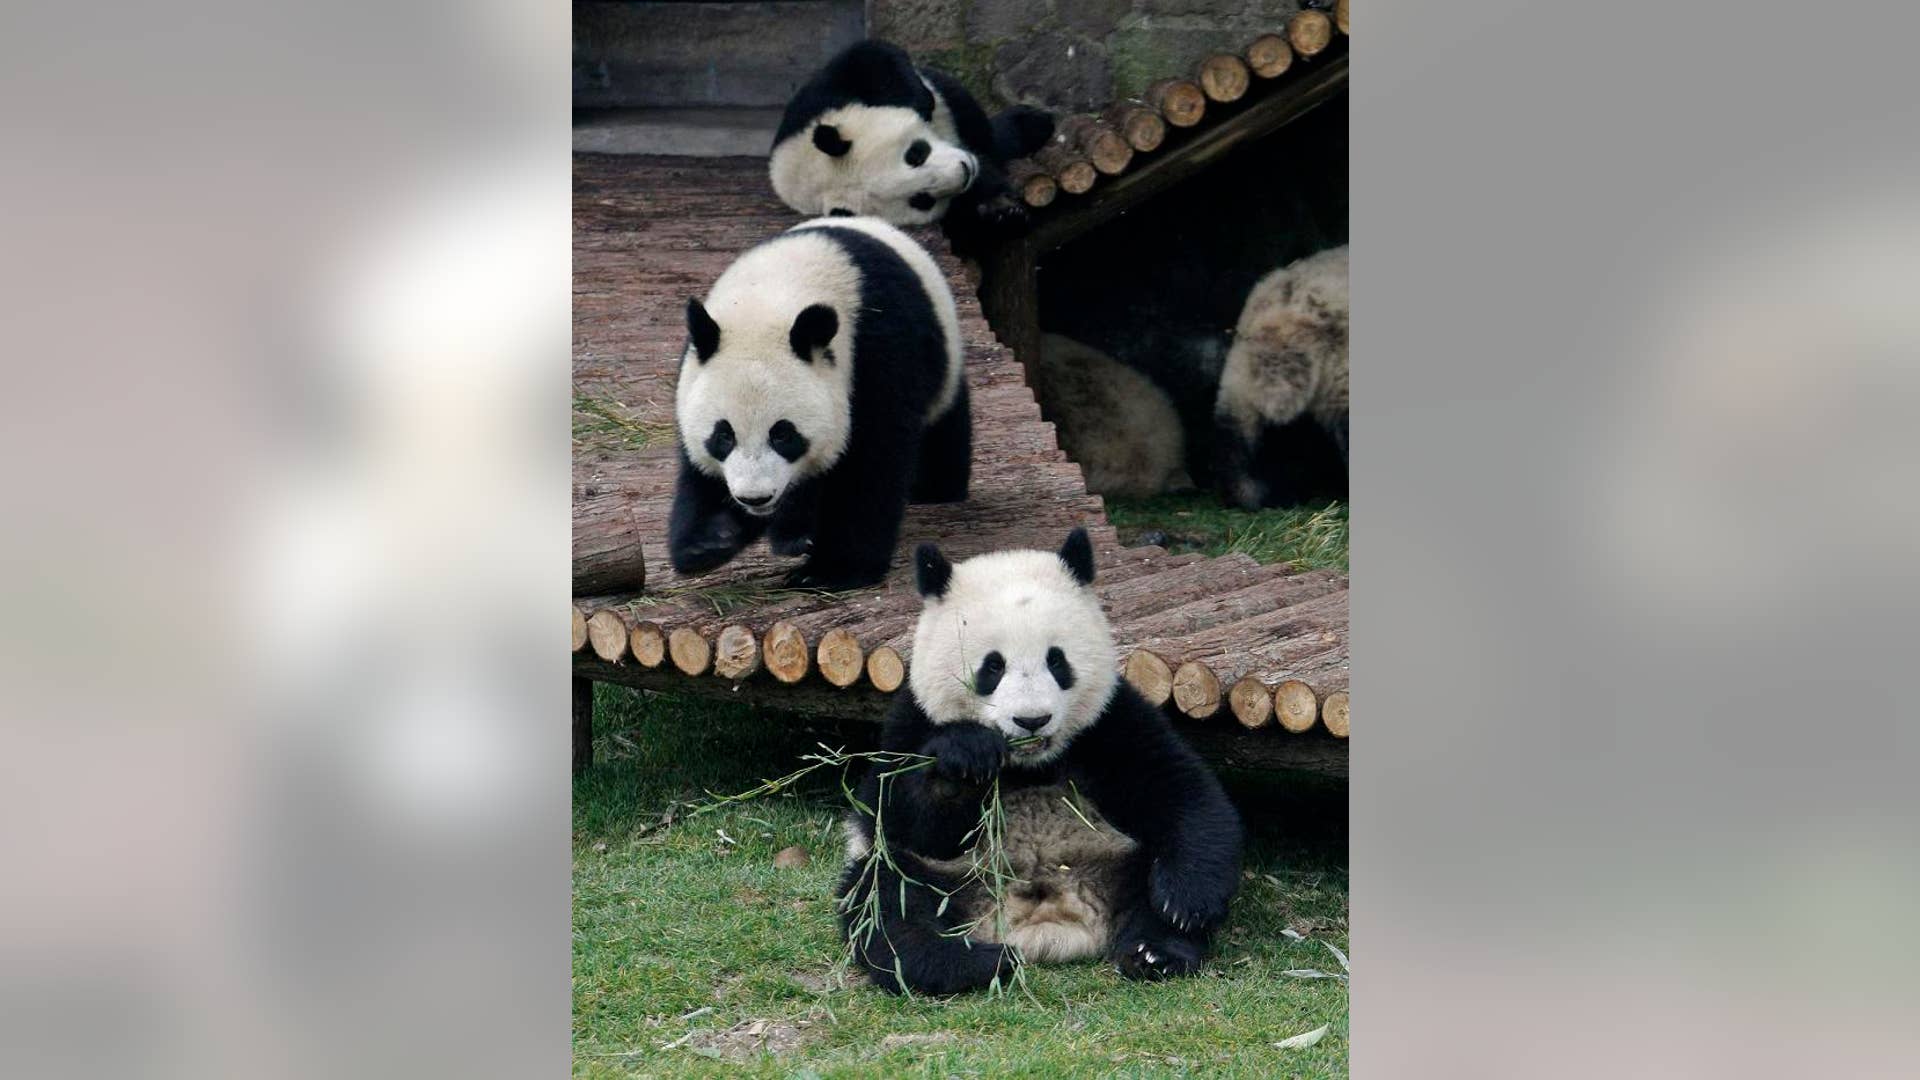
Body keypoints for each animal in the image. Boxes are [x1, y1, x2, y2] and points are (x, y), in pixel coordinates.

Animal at [668, 216, 970, 591]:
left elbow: (871, 459)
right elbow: (698, 472)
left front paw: (834, 569)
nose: (755, 498)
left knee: (944, 421)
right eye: (724, 436)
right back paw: (793, 535)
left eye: (783, 434)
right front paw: (710, 539)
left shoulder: (877, 348)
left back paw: (936, 488)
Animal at [769, 40, 1054, 254]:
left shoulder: (817, 104)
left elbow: (870, 56)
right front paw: (1000, 212)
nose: (964, 171)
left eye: (915, 154)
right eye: (921, 200)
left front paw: (920, 102)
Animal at [837, 529, 1244, 994]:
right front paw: (966, 758)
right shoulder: (913, 721)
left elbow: (1179, 791)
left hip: (1122, 856)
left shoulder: (1111, 722)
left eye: (1056, 660)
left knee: (1148, 885)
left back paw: (1154, 952)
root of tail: (1042, 924)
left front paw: (1184, 901)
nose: (1032, 720)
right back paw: (972, 962)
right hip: (942, 877)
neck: (1030, 763)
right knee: (889, 902)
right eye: (992, 666)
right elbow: (901, 816)